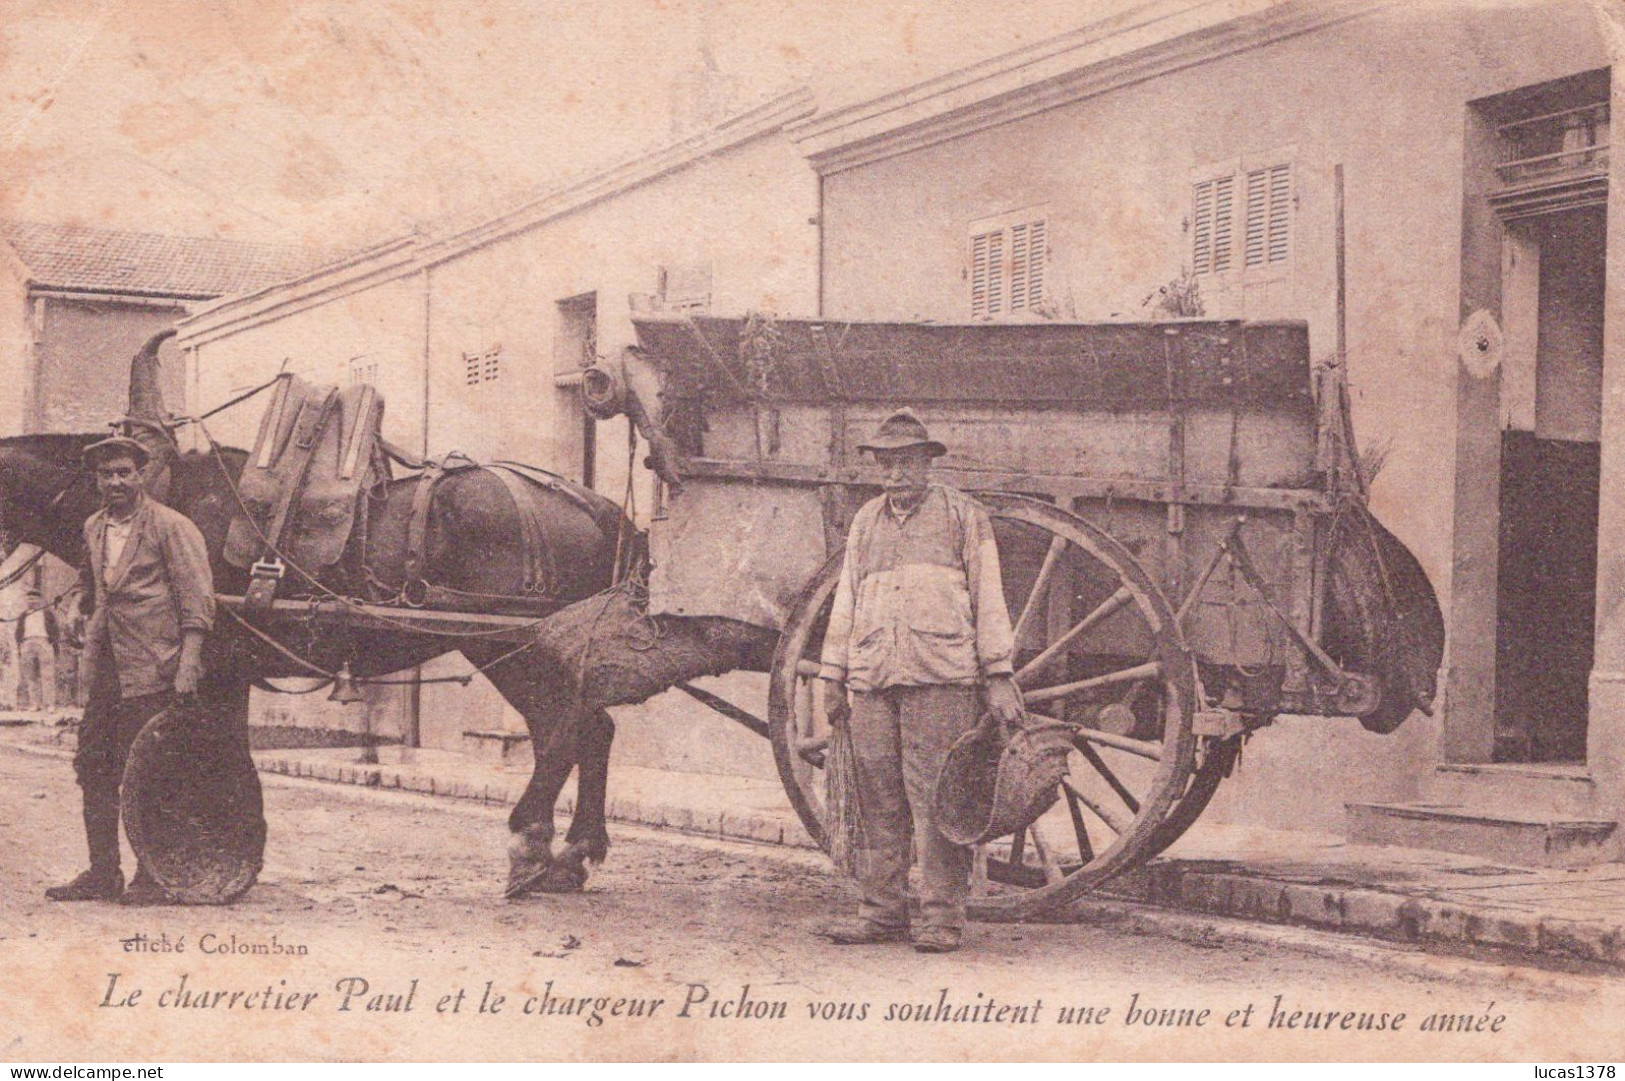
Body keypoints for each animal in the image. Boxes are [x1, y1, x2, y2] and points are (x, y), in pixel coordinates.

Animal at [0, 341, 630, 897]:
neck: (157, 494)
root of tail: (596, 504)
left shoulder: (205, 665)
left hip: (511, 646)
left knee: (564, 731)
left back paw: (531, 846)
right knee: (589, 728)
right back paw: (571, 853)